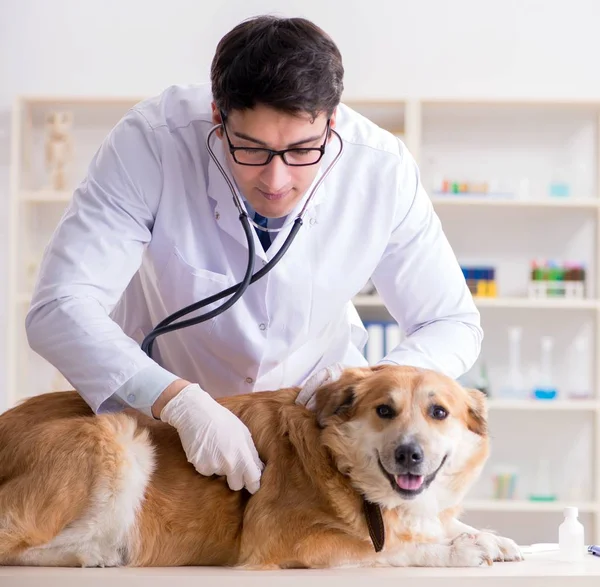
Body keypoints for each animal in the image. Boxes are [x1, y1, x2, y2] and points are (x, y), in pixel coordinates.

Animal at [0, 366, 520, 568]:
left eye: (439, 412)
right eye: (384, 410)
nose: (409, 454)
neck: (343, 467)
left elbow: (439, 524)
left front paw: (487, 536)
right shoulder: (287, 542)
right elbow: (388, 548)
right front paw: (456, 550)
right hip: (116, 436)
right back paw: (91, 553)